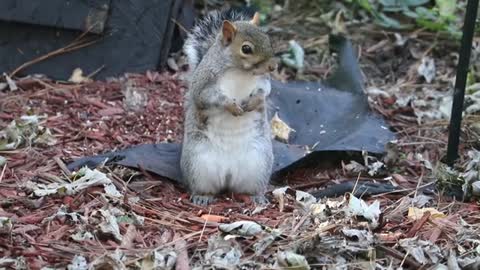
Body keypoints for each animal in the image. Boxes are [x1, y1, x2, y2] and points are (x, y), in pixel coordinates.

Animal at [180, 9, 278, 206]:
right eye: (246, 49)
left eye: (268, 39)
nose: (273, 66)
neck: (241, 72)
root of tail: (228, 174)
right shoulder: (204, 85)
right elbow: (208, 97)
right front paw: (232, 107)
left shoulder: (262, 81)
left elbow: (264, 92)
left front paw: (252, 103)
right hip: (198, 164)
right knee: (203, 187)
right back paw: (202, 196)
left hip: (258, 163)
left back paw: (256, 197)